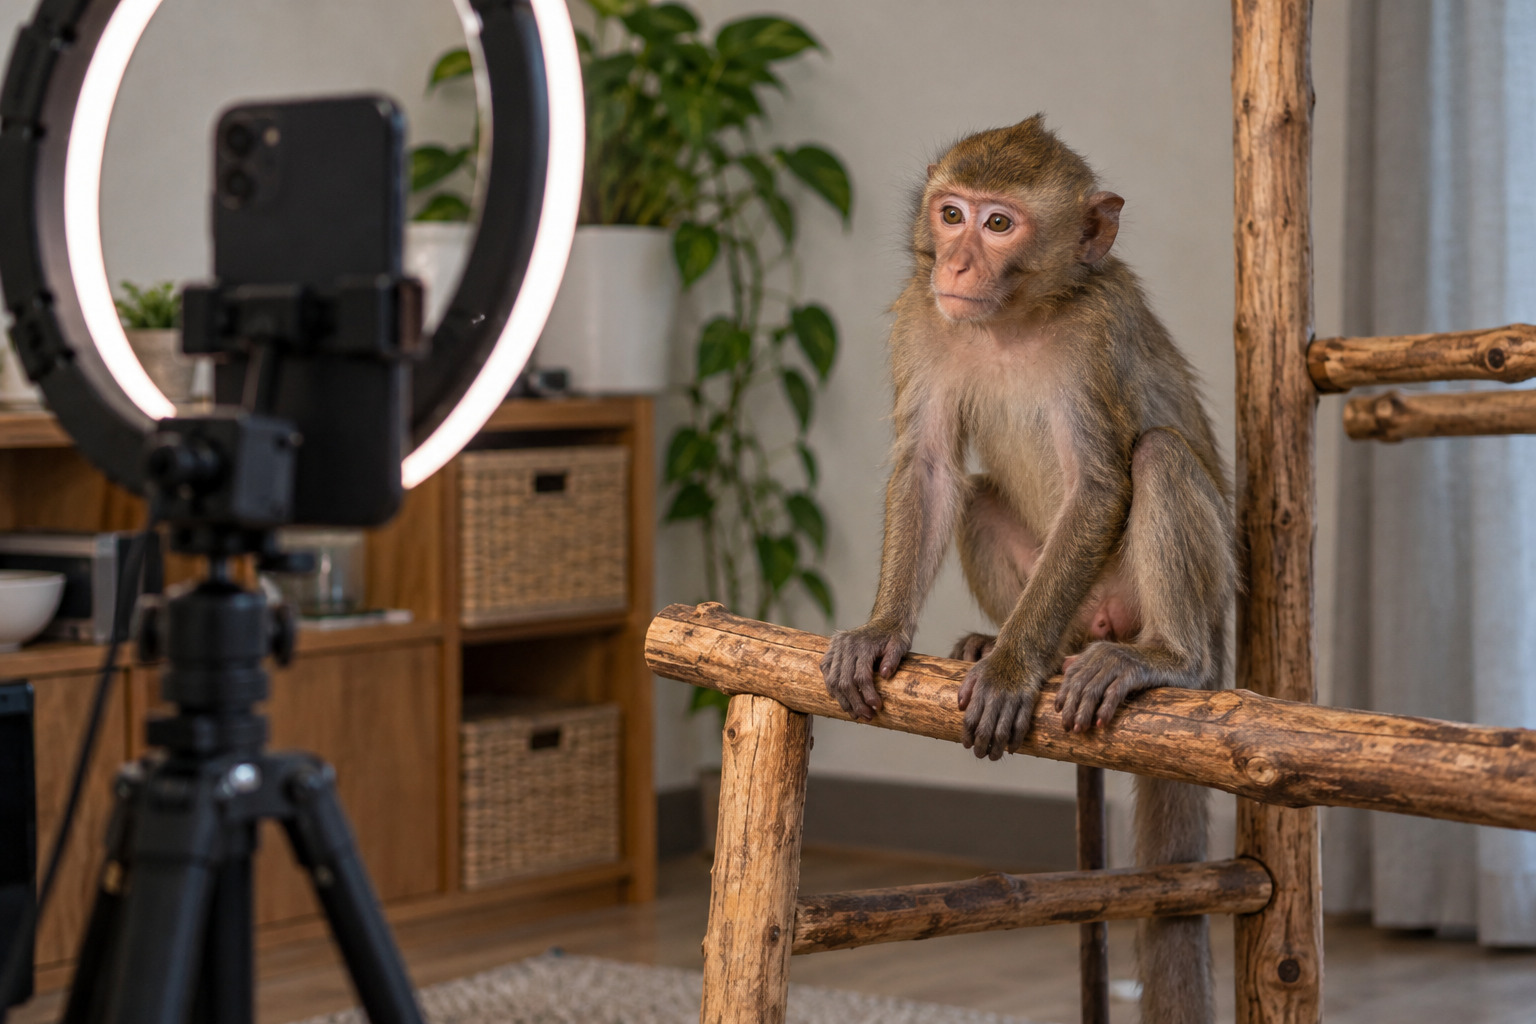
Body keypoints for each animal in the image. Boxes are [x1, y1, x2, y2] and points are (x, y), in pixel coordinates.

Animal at [819, 115, 1233, 1024]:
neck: (1014, 318)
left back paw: (1159, 659)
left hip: (1183, 611)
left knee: (1158, 457)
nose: (956, 265)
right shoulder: (923, 318)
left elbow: (1101, 485)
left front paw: (1012, 671)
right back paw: (1004, 643)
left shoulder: (1098, 334)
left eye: (1000, 225)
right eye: (951, 214)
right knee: (977, 496)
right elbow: (930, 467)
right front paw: (882, 631)